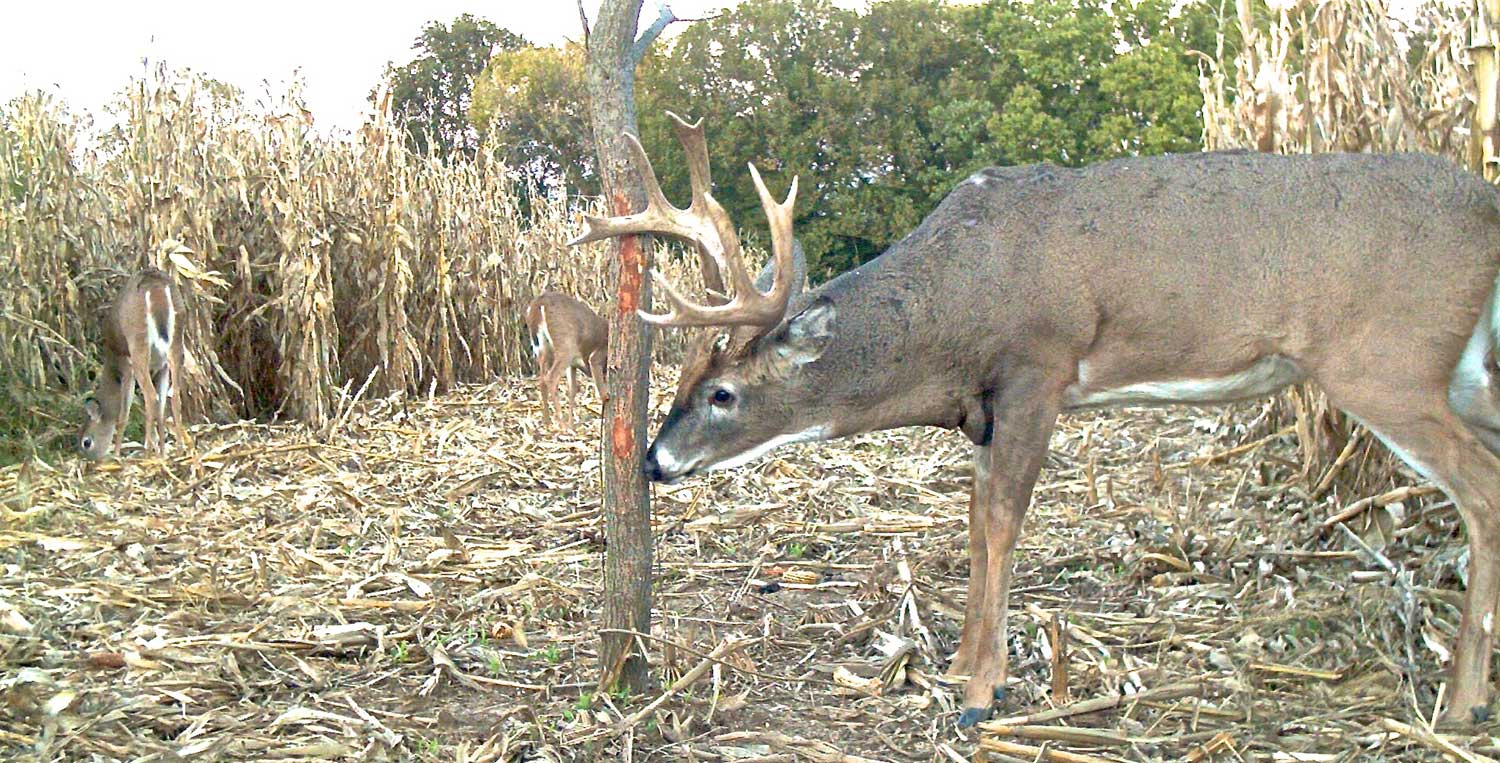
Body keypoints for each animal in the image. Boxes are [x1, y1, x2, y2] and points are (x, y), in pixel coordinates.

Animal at [78, 268, 189, 461]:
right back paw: (180, 449)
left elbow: (124, 413)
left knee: (151, 397)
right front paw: (162, 451)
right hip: (176, 343)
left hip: (138, 344)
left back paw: (146, 453)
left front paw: (117, 454)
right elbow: (161, 409)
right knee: (174, 395)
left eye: (87, 442)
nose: (91, 461)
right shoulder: (161, 367)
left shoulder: (126, 364)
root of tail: (155, 286)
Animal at [525, 291, 609, 431]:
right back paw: (562, 425)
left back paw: (547, 422)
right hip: (565, 346)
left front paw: (572, 425)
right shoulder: (596, 356)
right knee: (551, 378)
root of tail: (540, 303)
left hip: (542, 348)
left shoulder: (573, 364)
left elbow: (572, 390)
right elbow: (602, 393)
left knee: (542, 380)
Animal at [572, 113, 1500, 729]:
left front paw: (982, 691)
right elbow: (976, 516)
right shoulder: (985, 409)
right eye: (683, 378)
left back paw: (1459, 702)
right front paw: (954, 664)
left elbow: (1003, 519)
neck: (956, 309)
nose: (654, 458)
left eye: (723, 394)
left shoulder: (1038, 368)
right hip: (1462, 371)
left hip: (1387, 362)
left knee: (1482, 491)